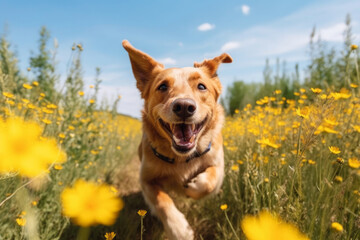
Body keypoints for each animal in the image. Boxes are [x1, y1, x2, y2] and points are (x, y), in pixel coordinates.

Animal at [122, 40, 232, 240]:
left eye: (201, 86)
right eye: (162, 87)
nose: (184, 107)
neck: (181, 158)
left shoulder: (218, 165)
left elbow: (210, 180)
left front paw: (193, 186)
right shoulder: (146, 179)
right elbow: (162, 201)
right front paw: (179, 229)